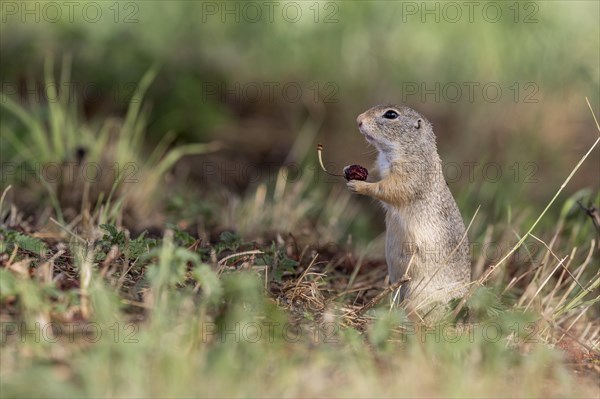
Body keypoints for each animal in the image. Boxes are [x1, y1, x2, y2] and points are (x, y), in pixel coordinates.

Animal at [350, 104, 472, 324]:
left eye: (391, 114)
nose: (358, 120)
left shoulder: (410, 173)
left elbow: (388, 189)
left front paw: (359, 185)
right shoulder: (380, 167)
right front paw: (350, 170)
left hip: (417, 292)